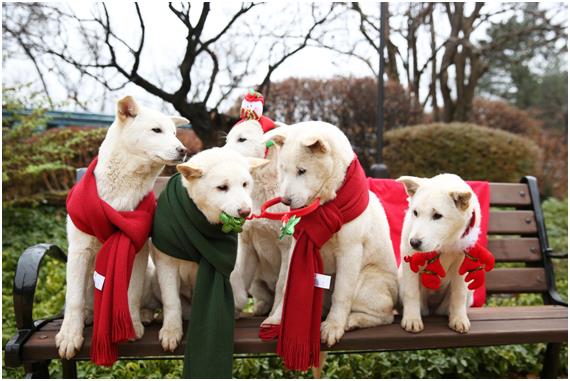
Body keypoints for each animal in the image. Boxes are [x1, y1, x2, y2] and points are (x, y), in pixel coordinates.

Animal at [56, 95, 189, 360]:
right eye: (156, 130)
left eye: (174, 132)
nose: (183, 150)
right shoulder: (79, 251)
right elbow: (73, 299)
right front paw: (69, 335)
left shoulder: (136, 250)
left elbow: (130, 293)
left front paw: (132, 325)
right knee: (84, 302)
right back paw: (89, 316)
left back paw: (145, 316)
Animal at [150, 146, 268, 350]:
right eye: (222, 187)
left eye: (245, 184)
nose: (246, 212)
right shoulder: (166, 263)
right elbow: (171, 301)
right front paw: (171, 330)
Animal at [223, 120, 290, 316]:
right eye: (227, 139)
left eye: (242, 139)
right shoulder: (246, 242)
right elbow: (238, 276)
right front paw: (235, 307)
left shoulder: (287, 246)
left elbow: (282, 285)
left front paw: (275, 318)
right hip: (257, 281)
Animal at [266, 120, 394, 346]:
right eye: (283, 169)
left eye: (302, 171)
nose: (286, 201)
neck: (326, 204)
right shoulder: (296, 246)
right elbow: (288, 287)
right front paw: (277, 319)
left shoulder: (349, 251)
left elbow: (342, 293)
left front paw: (333, 326)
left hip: (366, 282)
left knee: (386, 315)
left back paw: (352, 321)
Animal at [394, 173, 480, 332]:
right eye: (415, 213)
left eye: (437, 216)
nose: (414, 242)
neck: (444, 244)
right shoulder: (408, 256)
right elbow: (411, 292)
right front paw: (412, 319)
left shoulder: (461, 259)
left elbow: (459, 293)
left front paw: (459, 319)